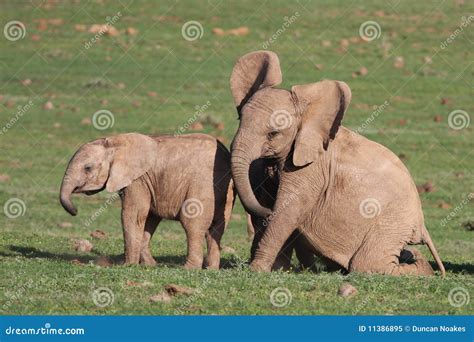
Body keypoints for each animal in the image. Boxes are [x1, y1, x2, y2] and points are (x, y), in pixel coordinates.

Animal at [60, 134, 234, 270]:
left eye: (88, 168)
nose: (75, 211)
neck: (115, 142)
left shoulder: (137, 180)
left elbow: (133, 214)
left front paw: (128, 265)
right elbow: (149, 217)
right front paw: (149, 265)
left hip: (203, 185)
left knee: (192, 223)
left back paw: (189, 269)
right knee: (217, 228)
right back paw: (211, 269)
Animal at [230, 50, 444, 276]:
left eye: (273, 134)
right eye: (240, 120)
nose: (265, 211)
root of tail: (421, 224)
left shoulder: (311, 169)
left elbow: (288, 210)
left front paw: (257, 270)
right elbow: (272, 202)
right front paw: (278, 269)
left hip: (391, 223)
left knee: (368, 263)